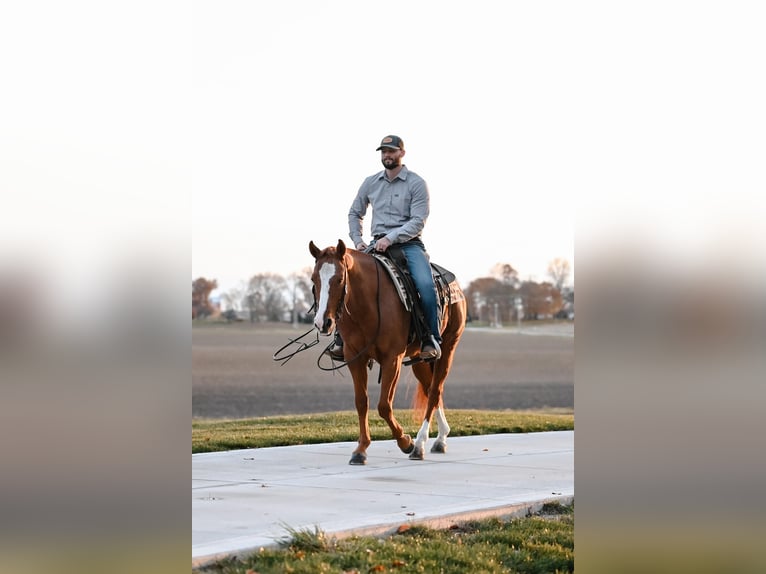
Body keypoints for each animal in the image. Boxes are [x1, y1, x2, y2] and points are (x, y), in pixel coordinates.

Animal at [308, 241, 468, 466]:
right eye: (314, 279)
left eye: (339, 279)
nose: (322, 323)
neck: (369, 304)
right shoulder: (355, 358)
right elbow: (361, 402)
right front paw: (360, 450)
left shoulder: (392, 359)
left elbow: (384, 405)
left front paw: (405, 442)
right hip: (419, 359)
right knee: (430, 389)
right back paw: (441, 438)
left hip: (448, 348)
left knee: (435, 391)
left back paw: (420, 444)